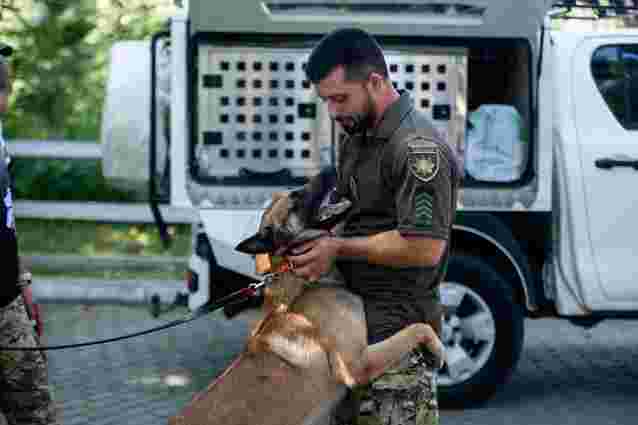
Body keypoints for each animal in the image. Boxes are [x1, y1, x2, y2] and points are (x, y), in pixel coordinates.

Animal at [168, 167, 442, 424]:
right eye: (296, 198)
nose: (331, 168)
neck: (306, 283)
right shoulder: (359, 365)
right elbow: (418, 328)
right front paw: (438, 350)